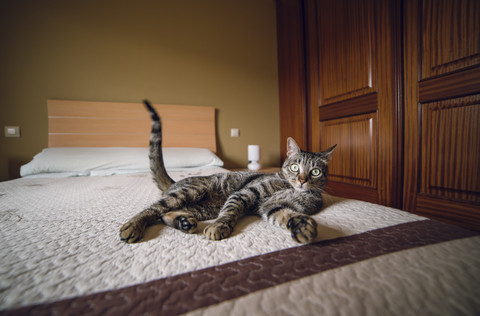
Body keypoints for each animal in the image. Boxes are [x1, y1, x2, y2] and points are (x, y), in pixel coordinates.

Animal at [119, 100, 336, 243]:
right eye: (294, 167)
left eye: (315, 172)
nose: (302, 180)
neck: (290, 188)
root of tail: (175, 182)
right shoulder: (245, 193)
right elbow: (230, 211)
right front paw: (219, 226)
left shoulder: (275, 206)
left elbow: (286, 215)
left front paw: (302, 226)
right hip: (191, 191)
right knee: (153, 209)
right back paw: (133, 226)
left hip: (203, 208)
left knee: (166, 214)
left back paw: (184, 222)